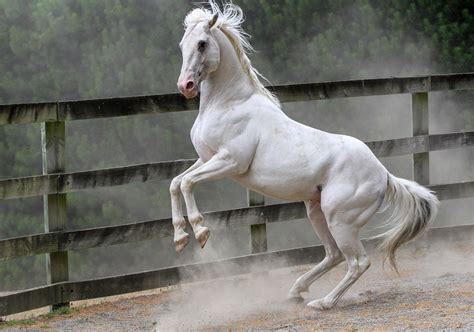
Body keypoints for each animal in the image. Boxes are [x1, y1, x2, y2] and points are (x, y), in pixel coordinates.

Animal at [168, 1, 438, 310]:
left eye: (202, 44)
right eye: (182, 44)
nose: (186, 86)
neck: (229, 103)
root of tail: (384, 175)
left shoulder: (230, 162)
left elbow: (188, 183)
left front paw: (200, 232)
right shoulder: (205, 159)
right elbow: (176, 183)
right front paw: (180, 238)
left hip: (340, 220)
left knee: (358, 262)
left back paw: (323, 303)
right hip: (316, 211)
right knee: (333, 255)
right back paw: (296, 291)